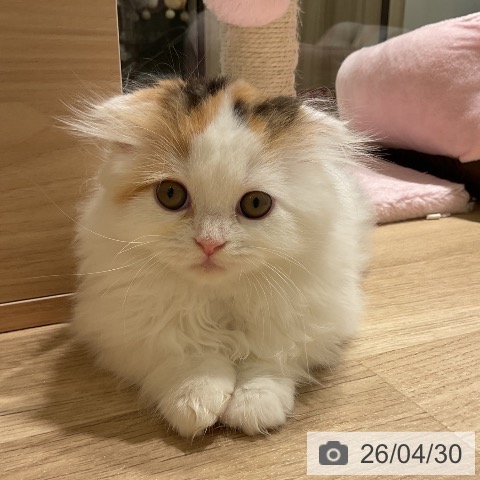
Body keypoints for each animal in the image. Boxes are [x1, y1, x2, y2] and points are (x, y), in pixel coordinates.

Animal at [69, 76, 373, 438]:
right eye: (170, 194)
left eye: (256, 204)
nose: (209, 243)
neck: (219, 300)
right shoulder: (124, 330)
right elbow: (186, 355)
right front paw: (195, 399)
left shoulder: (312, 321)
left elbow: (270, 358)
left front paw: (253, 404)